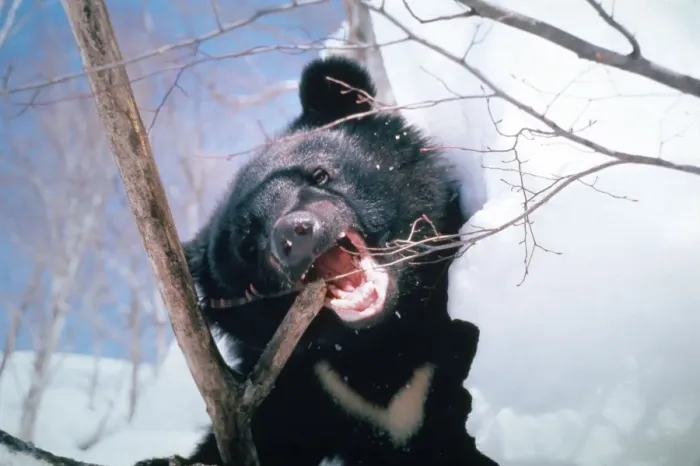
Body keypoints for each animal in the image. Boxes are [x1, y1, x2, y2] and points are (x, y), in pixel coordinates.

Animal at [137, 56, 498, 466]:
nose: (294, 235)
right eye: (248, 244)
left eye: (320, 175)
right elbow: (265, 434)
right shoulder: (309, 385)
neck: (382, 340)